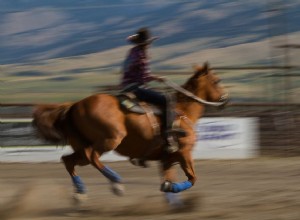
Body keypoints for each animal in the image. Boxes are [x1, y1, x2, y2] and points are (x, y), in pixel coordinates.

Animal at [31, 62, 227, 206]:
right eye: (217, 80)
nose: (225, 99)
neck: (183, 112)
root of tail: (74, 105)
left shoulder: (167, 158)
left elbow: (168, 178)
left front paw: (172, 196)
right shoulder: (184, 152)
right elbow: (193, 178)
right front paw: (172, 190)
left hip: (81, 145)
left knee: (68, 160)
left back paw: (80, 194)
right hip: (110, 139)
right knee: (92, 156)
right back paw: (116, 183)